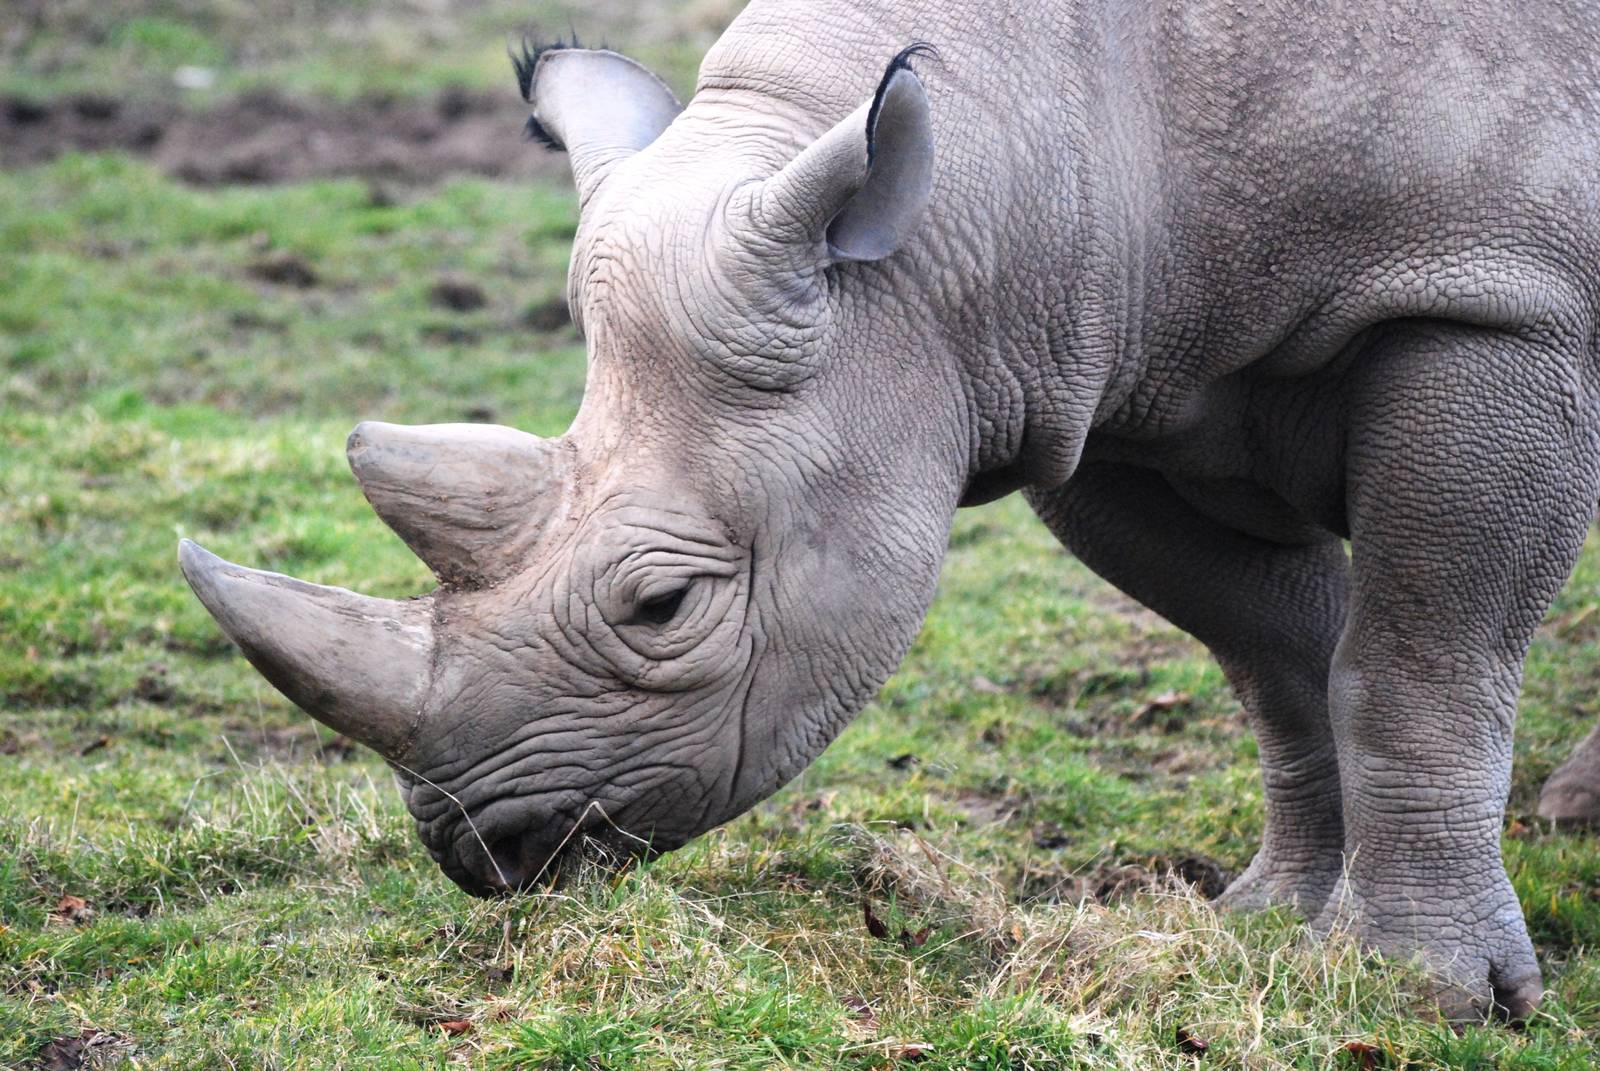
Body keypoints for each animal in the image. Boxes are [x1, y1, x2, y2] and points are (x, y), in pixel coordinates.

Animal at [178, 0, 1600, 1021]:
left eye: (663, 605)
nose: (480, 846)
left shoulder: (1493, 302)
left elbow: (1412, 660)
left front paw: (1418, 995)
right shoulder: (1091, 362)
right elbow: (1281, 652)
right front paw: (1271, 924)